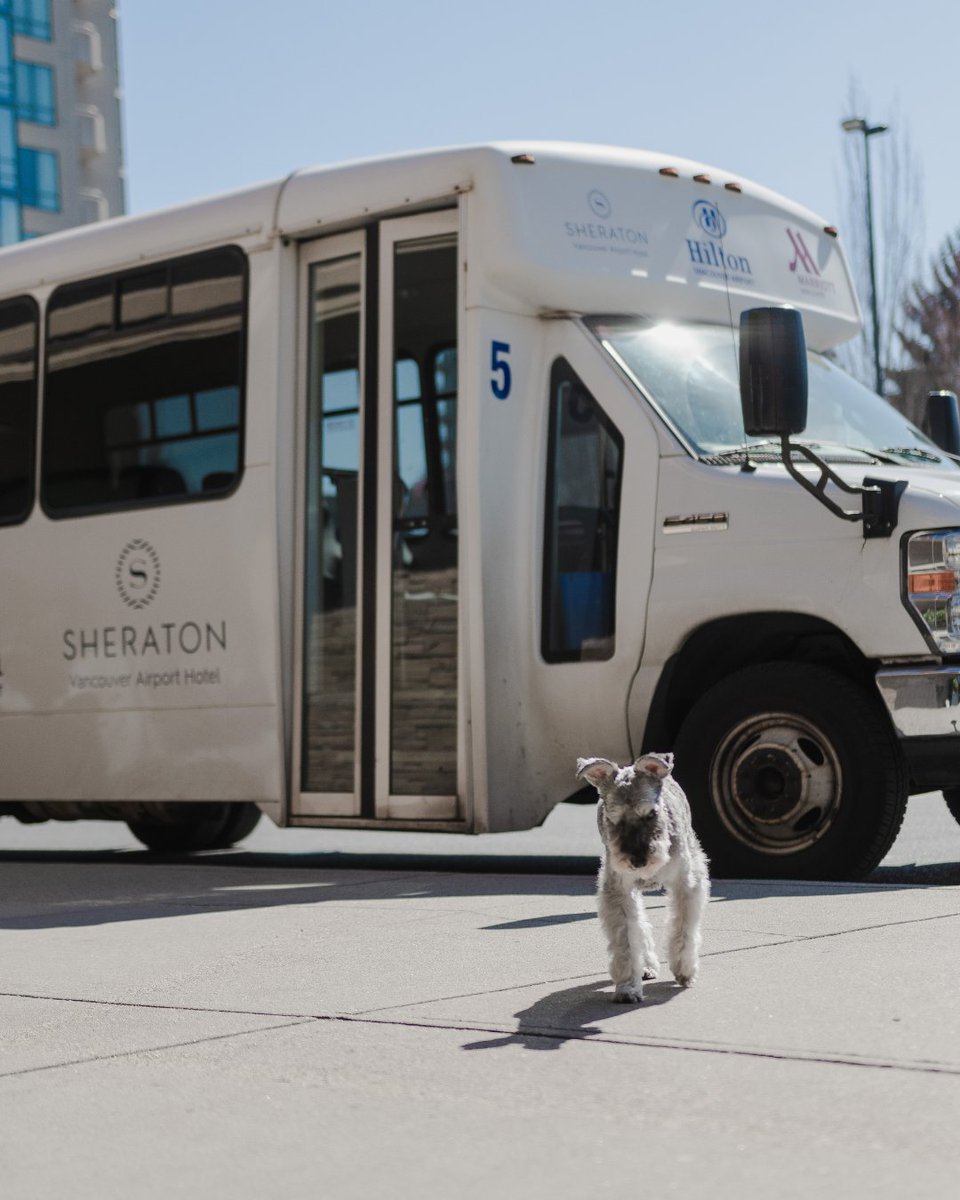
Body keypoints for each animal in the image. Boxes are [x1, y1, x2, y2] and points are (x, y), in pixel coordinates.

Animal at [573, 748, 710, 1003]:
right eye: (613, 818)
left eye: (651, 814)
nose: (638, 860)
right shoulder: (618, 890)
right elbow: (626, 939)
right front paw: (627, 987)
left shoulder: (686, 884)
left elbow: (683, 929)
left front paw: (684, 969)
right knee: (641, 923)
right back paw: (646, 965)